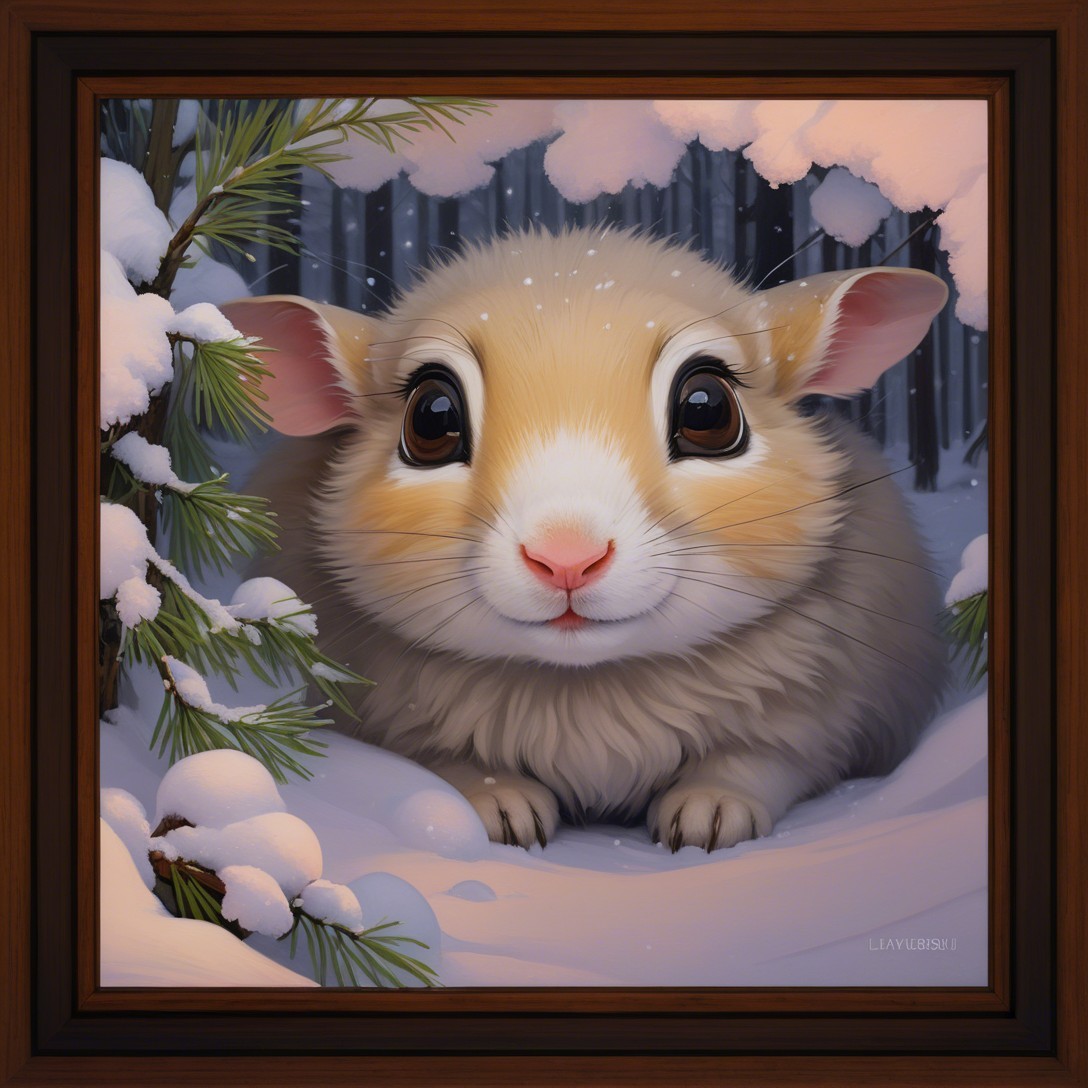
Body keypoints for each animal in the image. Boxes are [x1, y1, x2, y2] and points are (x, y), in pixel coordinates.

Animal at [222, 226, 950, 852]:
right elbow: (439, 760)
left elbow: (763, 759)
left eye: (707, 409)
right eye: (431, 418)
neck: (584, 688)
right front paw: (499, 806)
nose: (566, 557)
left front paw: (711, 813)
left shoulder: (815, 716)